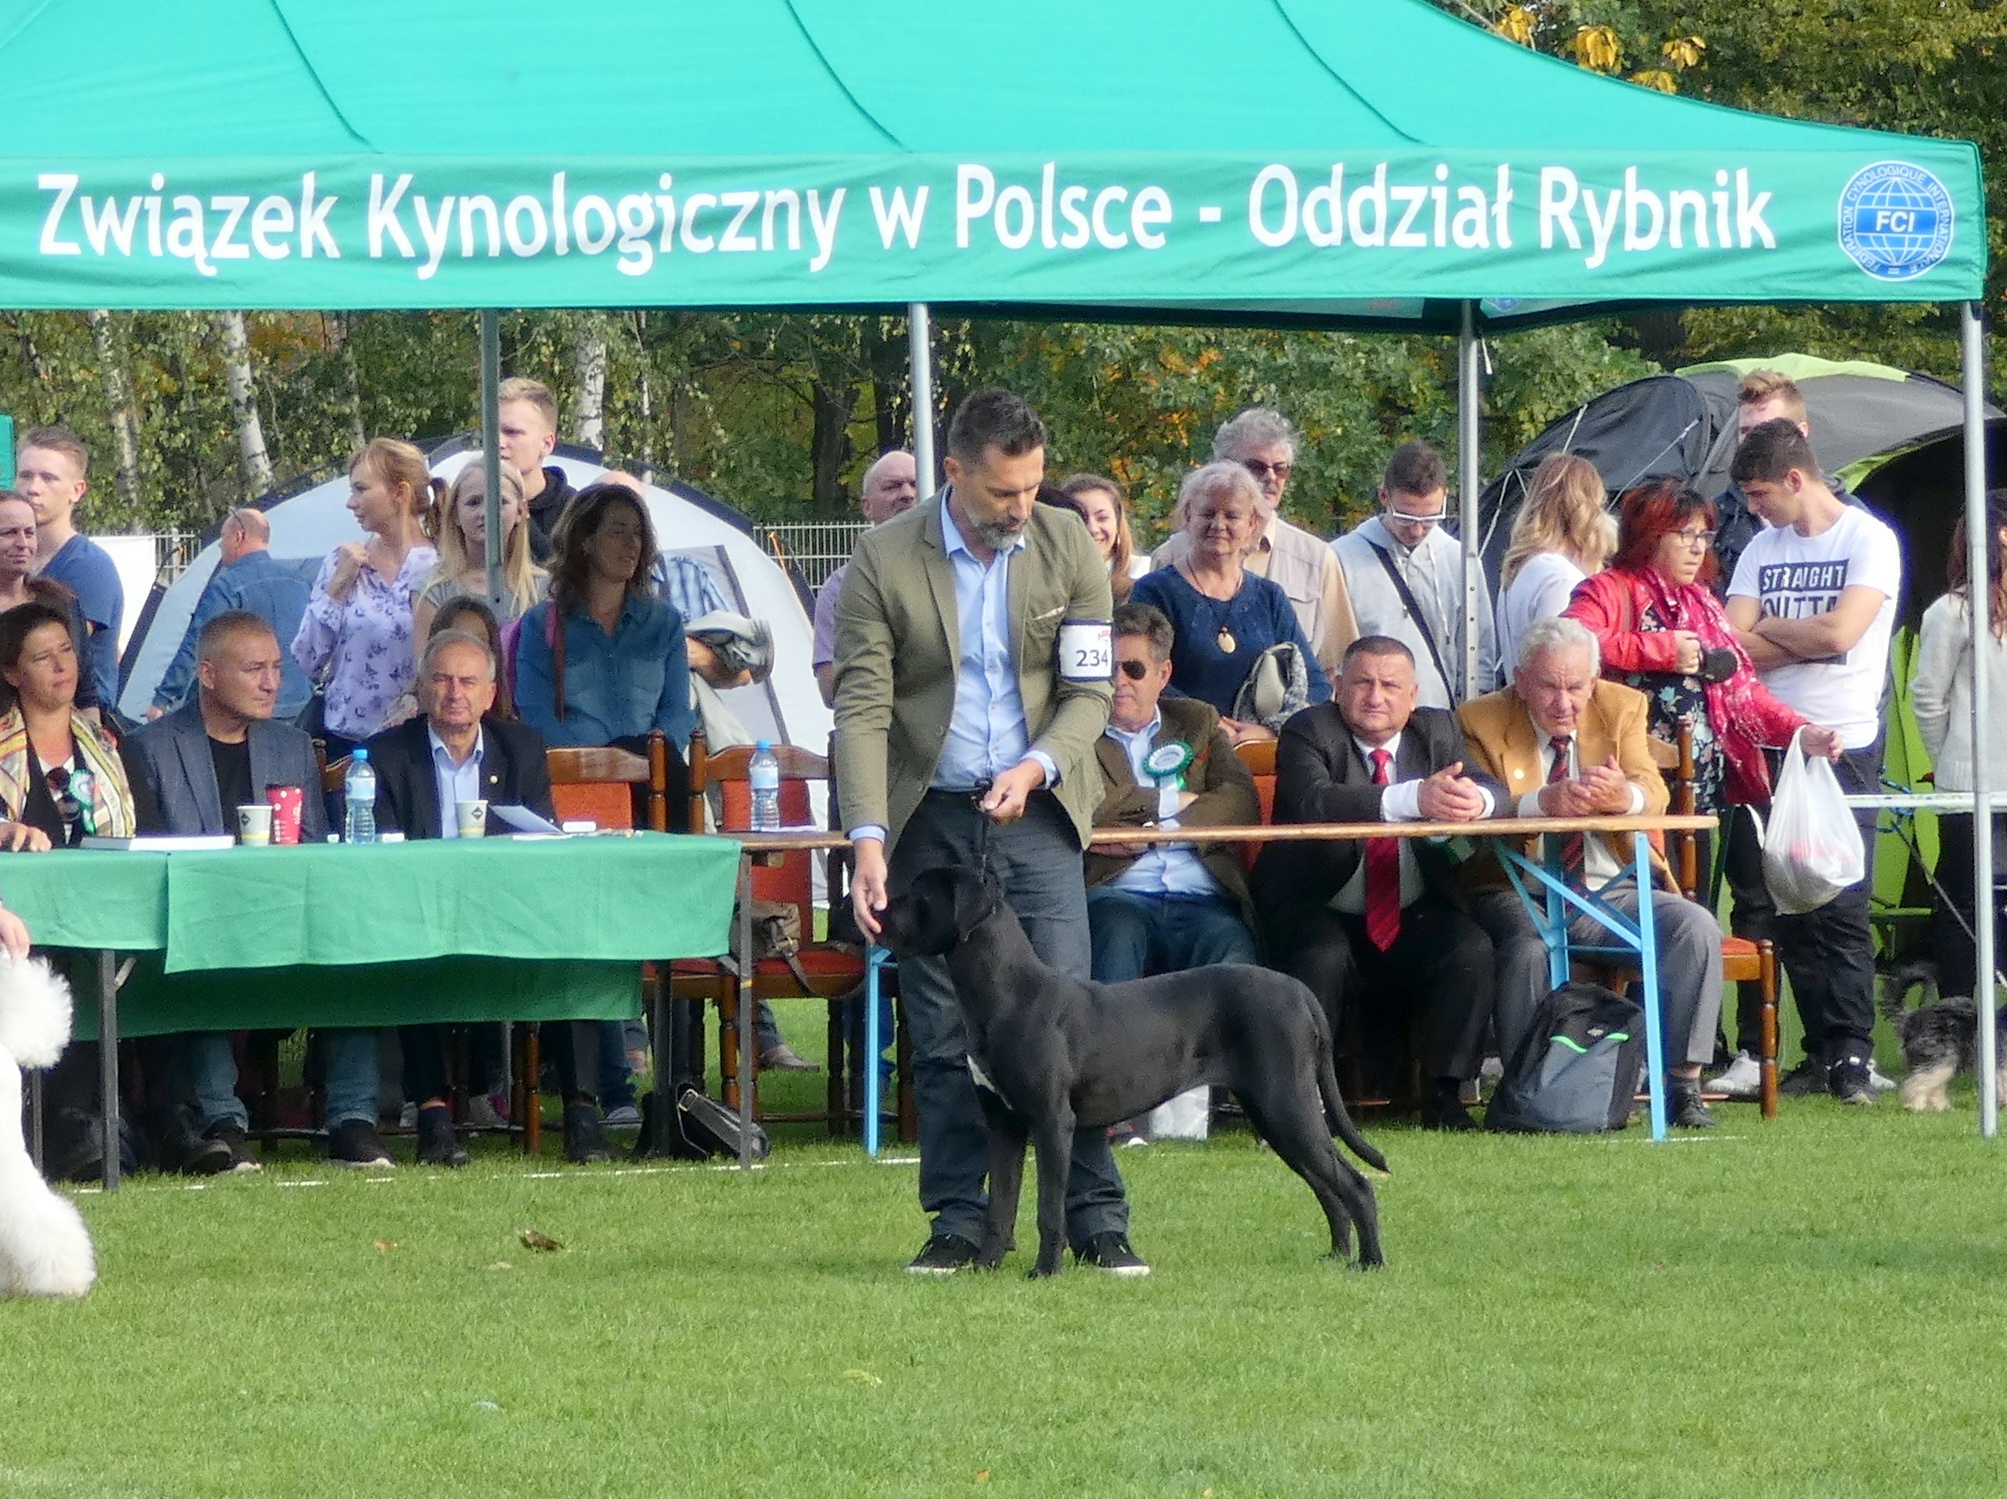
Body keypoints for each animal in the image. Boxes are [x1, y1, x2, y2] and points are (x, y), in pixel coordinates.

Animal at [887, 866, 1388, 1276]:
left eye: (918, 894)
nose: (875, 909)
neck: (1005, 994)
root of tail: (1301, 993)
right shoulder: (1004, 1124)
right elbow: (1000, 1204)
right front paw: (985, 1269)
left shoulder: (1052, 1122)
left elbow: (1048, 1207)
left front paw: (1045, 1272)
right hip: (1275, 1114)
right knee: (1327, 1186)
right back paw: (1337, 1255)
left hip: (1286, 1105)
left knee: (1356, 1185)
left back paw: (1369, 1262)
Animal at [1878, 963, 2007, 1115]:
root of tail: (1909, 1019)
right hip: (1941, 1058)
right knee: (1916, 1083)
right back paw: (1917, 1107)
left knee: (1932, 1086)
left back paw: (1941, 1108)